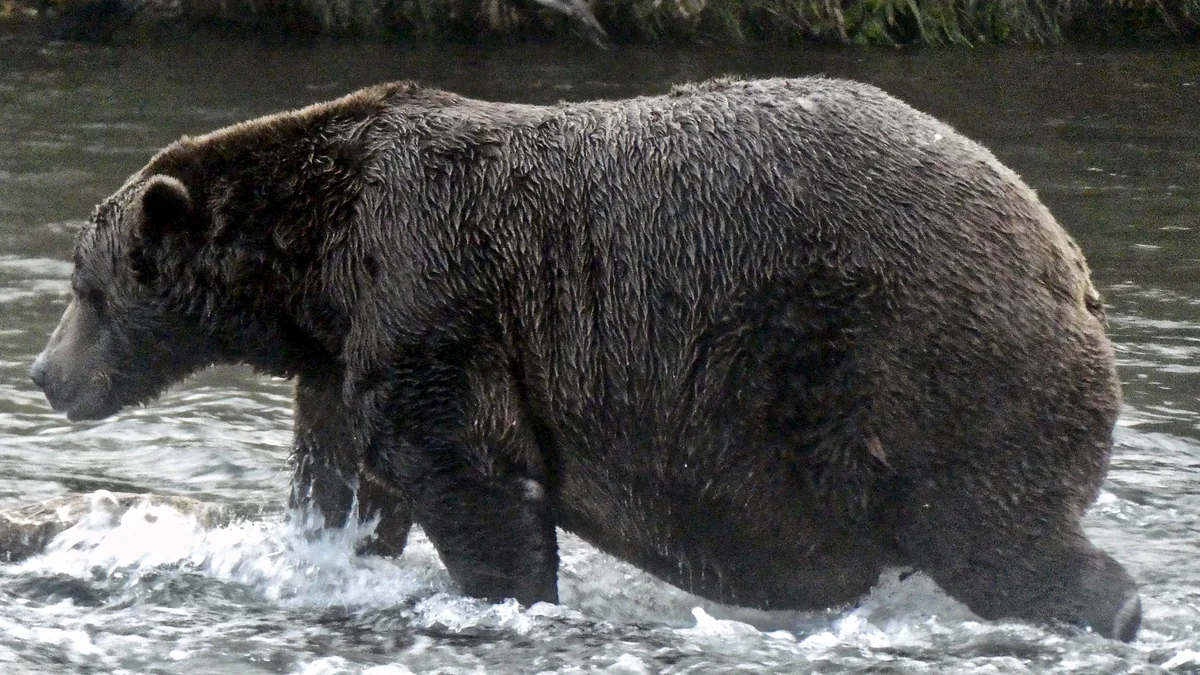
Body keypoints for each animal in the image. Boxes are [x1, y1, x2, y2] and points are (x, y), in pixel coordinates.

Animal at [30, 77, 1141, 640]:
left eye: (88, 288)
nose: (44, 373)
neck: (319, 261)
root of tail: (1070, 266)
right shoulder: (347, 353)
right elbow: (341, 480)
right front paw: (323, 549)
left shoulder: (436, 291)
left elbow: (470, 472)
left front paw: (505, 594)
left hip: (930, 366)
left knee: (995, 532)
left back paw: (1106, 609)